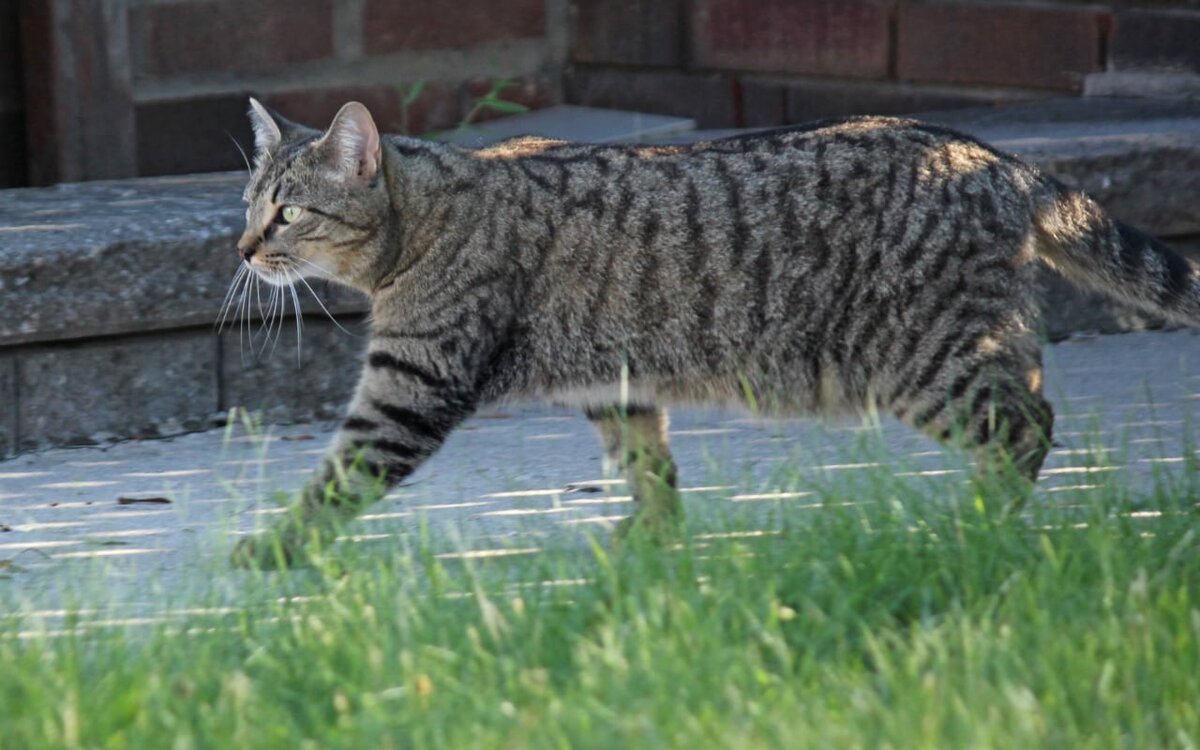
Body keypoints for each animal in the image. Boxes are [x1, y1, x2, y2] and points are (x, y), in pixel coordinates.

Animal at [226, 97, 1200, 566]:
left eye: (289, 213)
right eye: (247, 204)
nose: (241, 247)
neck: (425, 218)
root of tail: (994, 155)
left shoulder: (410, 385)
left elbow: (335, 482)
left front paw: (269, 549)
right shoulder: (614, 384)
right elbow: (648, 467)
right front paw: (651, 540)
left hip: (929, 356)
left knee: (1028, 423)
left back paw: (979, 524)